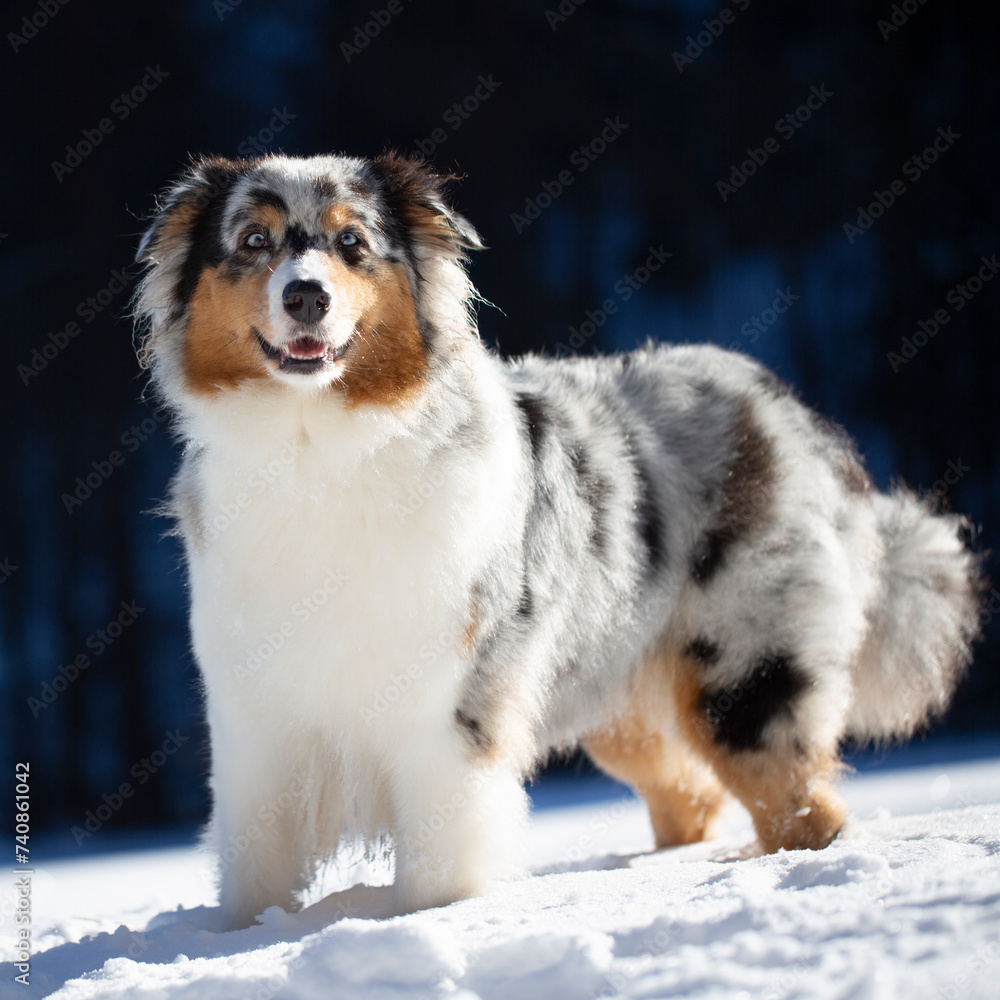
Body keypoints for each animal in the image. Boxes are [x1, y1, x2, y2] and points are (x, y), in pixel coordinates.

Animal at [135, 150, 984, 928]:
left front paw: (431, 922)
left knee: (800, 805)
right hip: (622, 695)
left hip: (743, 669)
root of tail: (782, 402)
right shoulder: (256, 717)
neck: (316, 446)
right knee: (688, 794)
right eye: (253, 240)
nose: (305, 295)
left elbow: (439, 863)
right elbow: (255, 868)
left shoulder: (449, 707)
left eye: (352, 244)